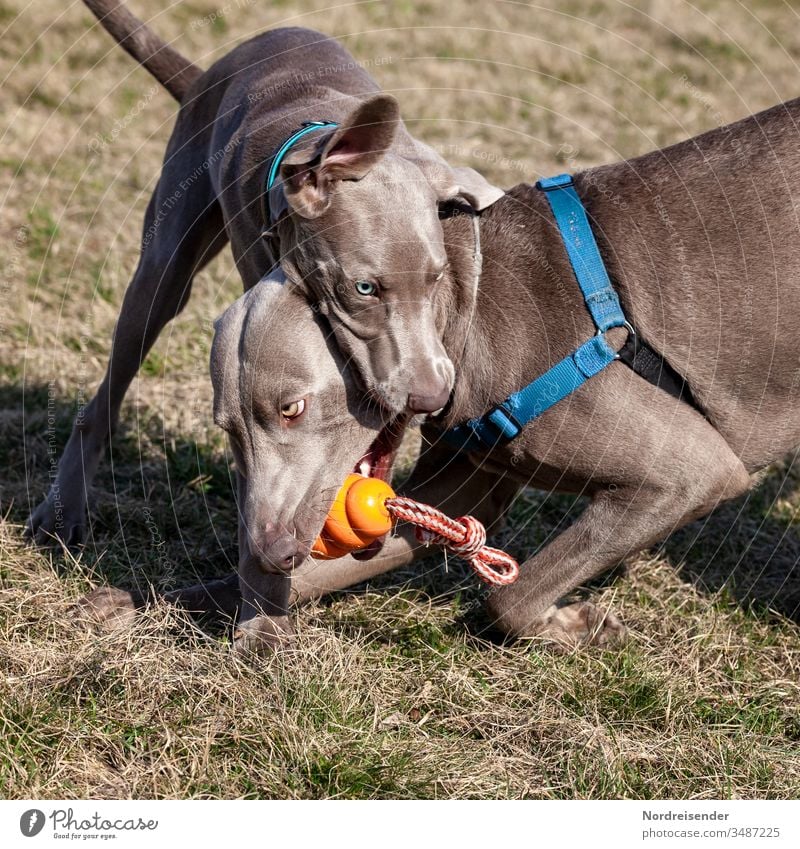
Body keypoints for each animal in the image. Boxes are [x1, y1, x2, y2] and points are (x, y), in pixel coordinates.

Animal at [26, 1, 500, 544]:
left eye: (437, 278)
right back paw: (62, 509)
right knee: (113, 379)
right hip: (164, 263)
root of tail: (207, 75)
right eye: (364, 288)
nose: (433, 395)